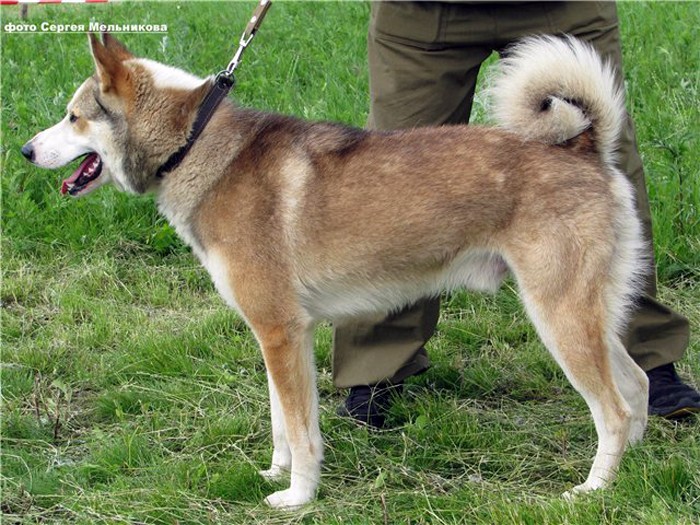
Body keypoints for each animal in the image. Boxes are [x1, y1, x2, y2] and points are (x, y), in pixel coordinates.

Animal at [22, 32, 650, 509]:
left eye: (73, 118)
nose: (26, 151)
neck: (195, 146)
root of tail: (583, 147)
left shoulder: (280, 331)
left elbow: (301, 432)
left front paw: (296, 497)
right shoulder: (279, 336)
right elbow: (282, 423)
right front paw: (274, 474)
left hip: (558, 318)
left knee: (613, 409)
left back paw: (595, 489)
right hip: (588, 318)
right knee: (637, 383)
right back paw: (635, 465)